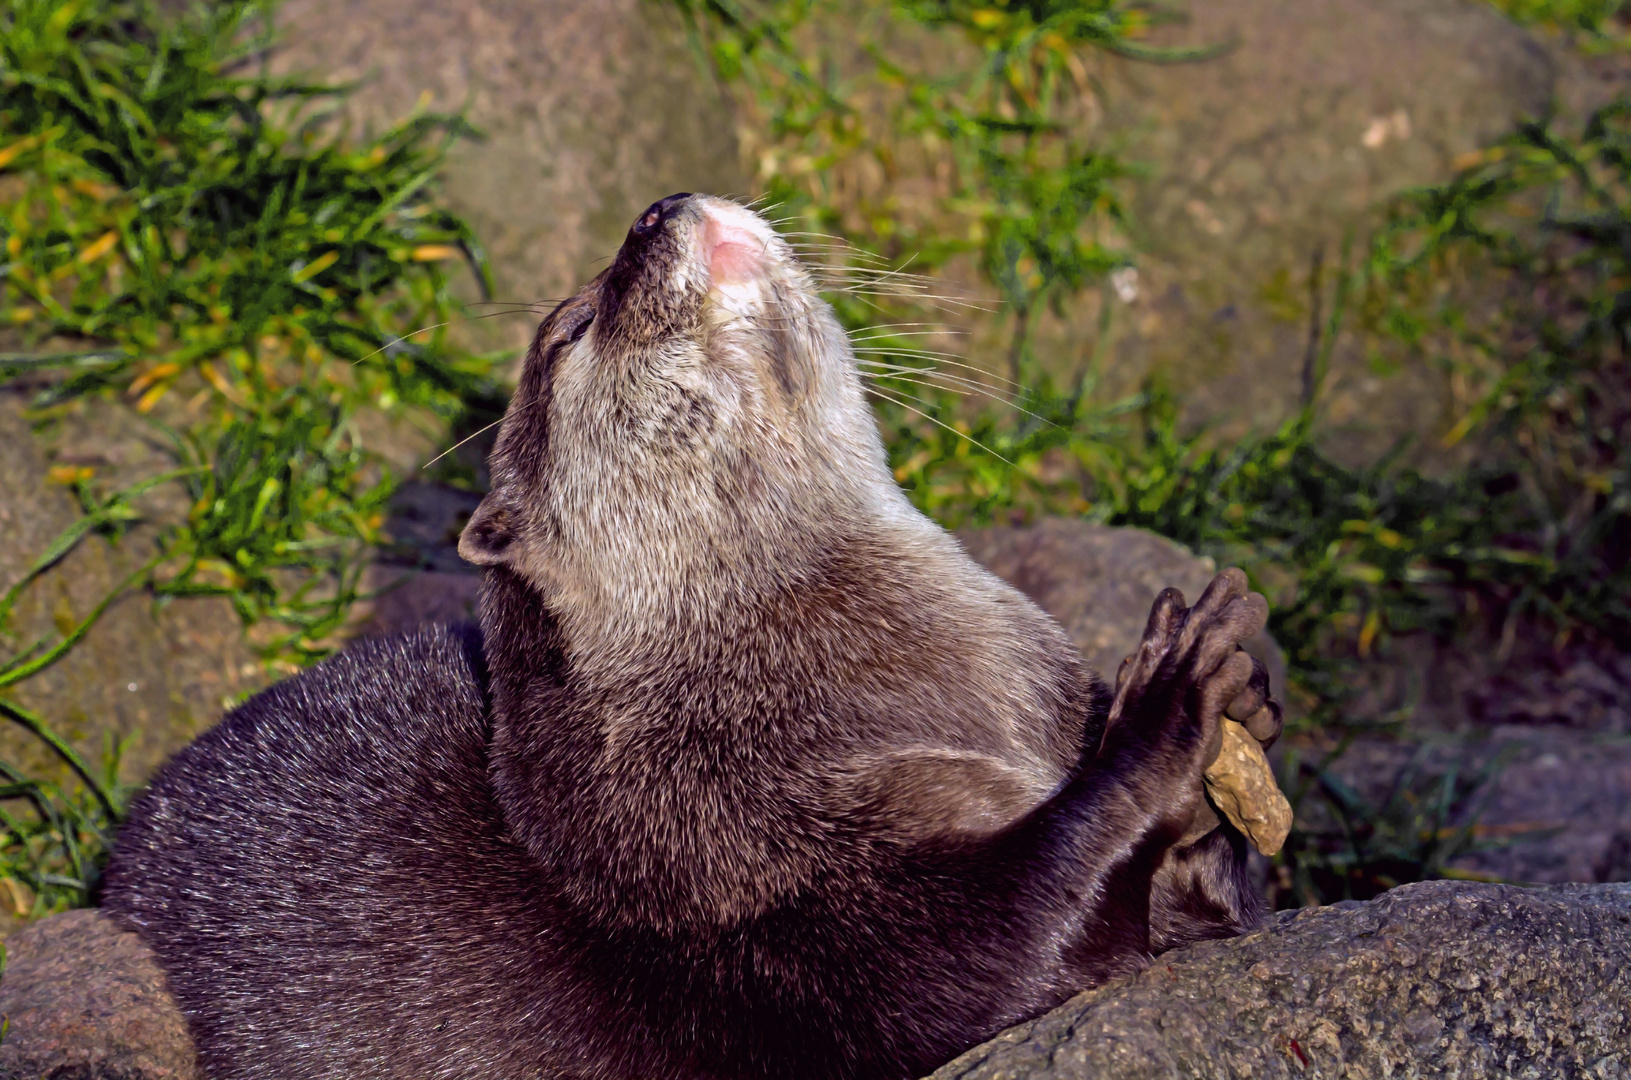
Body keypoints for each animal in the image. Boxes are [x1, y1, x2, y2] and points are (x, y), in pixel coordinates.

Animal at [108, 194, 1291, 1080]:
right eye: (572, 328)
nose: (653, 209)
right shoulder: (733, 897)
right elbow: (988, 969)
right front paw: (1168, 702)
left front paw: (1243, 713)